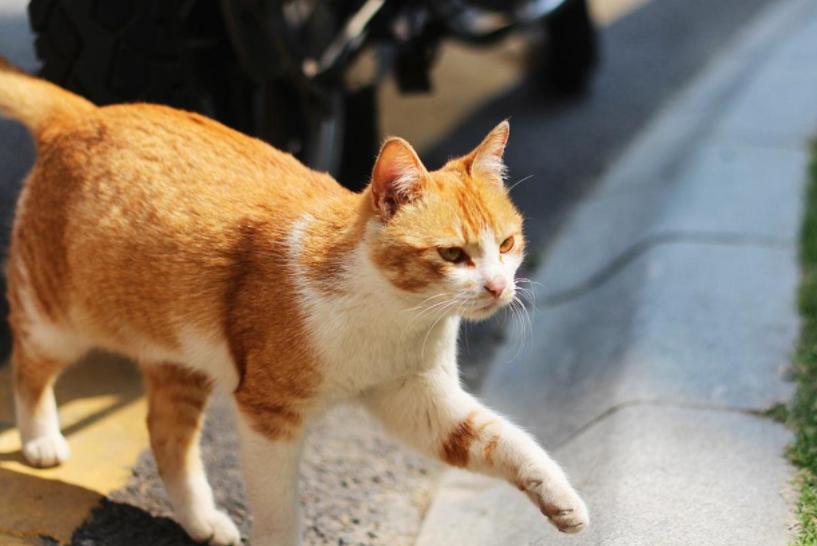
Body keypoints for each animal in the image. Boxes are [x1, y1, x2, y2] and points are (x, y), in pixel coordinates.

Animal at [0, 59, 588, 544]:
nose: (498, 287)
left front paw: (558, 495)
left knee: (167, 439)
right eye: (453, 254)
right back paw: (40, 440)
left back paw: (202, 521)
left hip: (178, 362)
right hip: (59, 320)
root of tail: (84, 113)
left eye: (506, 244)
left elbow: (500, 438)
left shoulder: (419, 401)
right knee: (28, 367)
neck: (390, 314)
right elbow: (279, 509)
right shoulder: (268, 414)